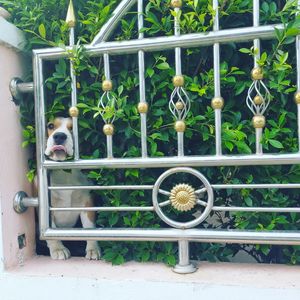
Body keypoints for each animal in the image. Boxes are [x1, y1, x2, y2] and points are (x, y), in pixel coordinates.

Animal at [44, 117, 101, 260]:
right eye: (50, 126)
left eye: (74, 128)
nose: (59, 136)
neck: (65, 172)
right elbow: (51, 228)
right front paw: (58, 249)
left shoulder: (87, 201)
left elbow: (89, 227)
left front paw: (92, 249)